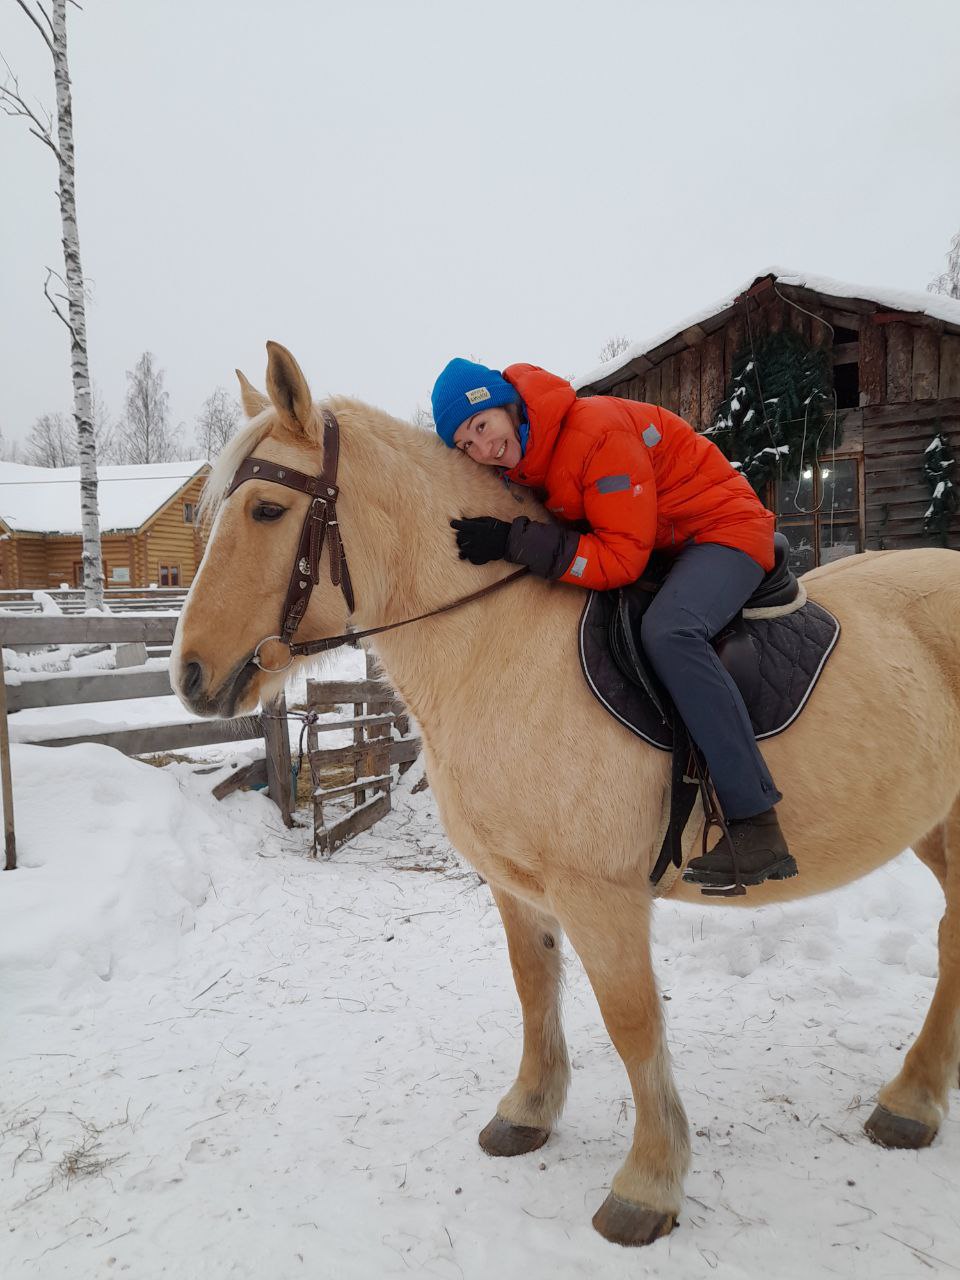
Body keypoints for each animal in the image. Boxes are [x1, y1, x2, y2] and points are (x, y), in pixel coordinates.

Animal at [172, 343, 960, 1249]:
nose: (189, 675)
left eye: (267, 509)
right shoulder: (517, 887)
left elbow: (632, 1022)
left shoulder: (601, 896)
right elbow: (533, 987)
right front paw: (529, 1111)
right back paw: (915, 1100)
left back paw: (910, 1102)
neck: (502, 645)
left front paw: (648, 1182)